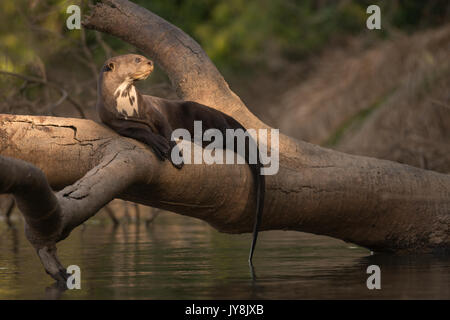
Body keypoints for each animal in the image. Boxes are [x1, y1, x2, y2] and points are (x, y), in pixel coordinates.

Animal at [95, 53, 264, 264]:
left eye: (141, 57)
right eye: (136, 59)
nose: (150, 62)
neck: (128, 107)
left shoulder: (154, 111)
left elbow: (166, 129)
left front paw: (175, 156)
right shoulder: (117, 123)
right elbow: (141, 132)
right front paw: (159, 144)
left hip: (201, 112)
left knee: (226, 135)